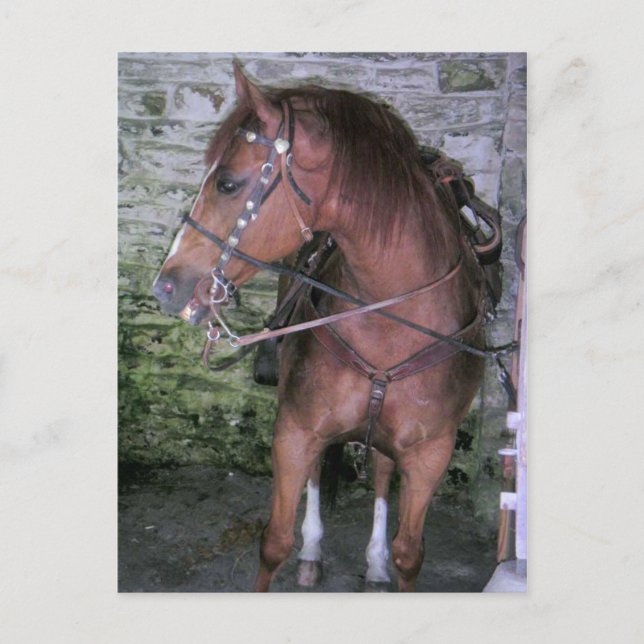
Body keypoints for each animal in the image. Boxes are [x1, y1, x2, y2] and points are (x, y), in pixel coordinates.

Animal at [153, 63, 493, 592]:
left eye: (227, 184)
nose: (165, 286)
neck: (389, 325)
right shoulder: (294, 432)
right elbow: (274, 543)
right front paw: (300, 548)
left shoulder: (430, 454)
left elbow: (409, 555)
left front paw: (386, 560)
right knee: (319, 474)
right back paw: (313, 551)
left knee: (381, 469)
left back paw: (374, 562)